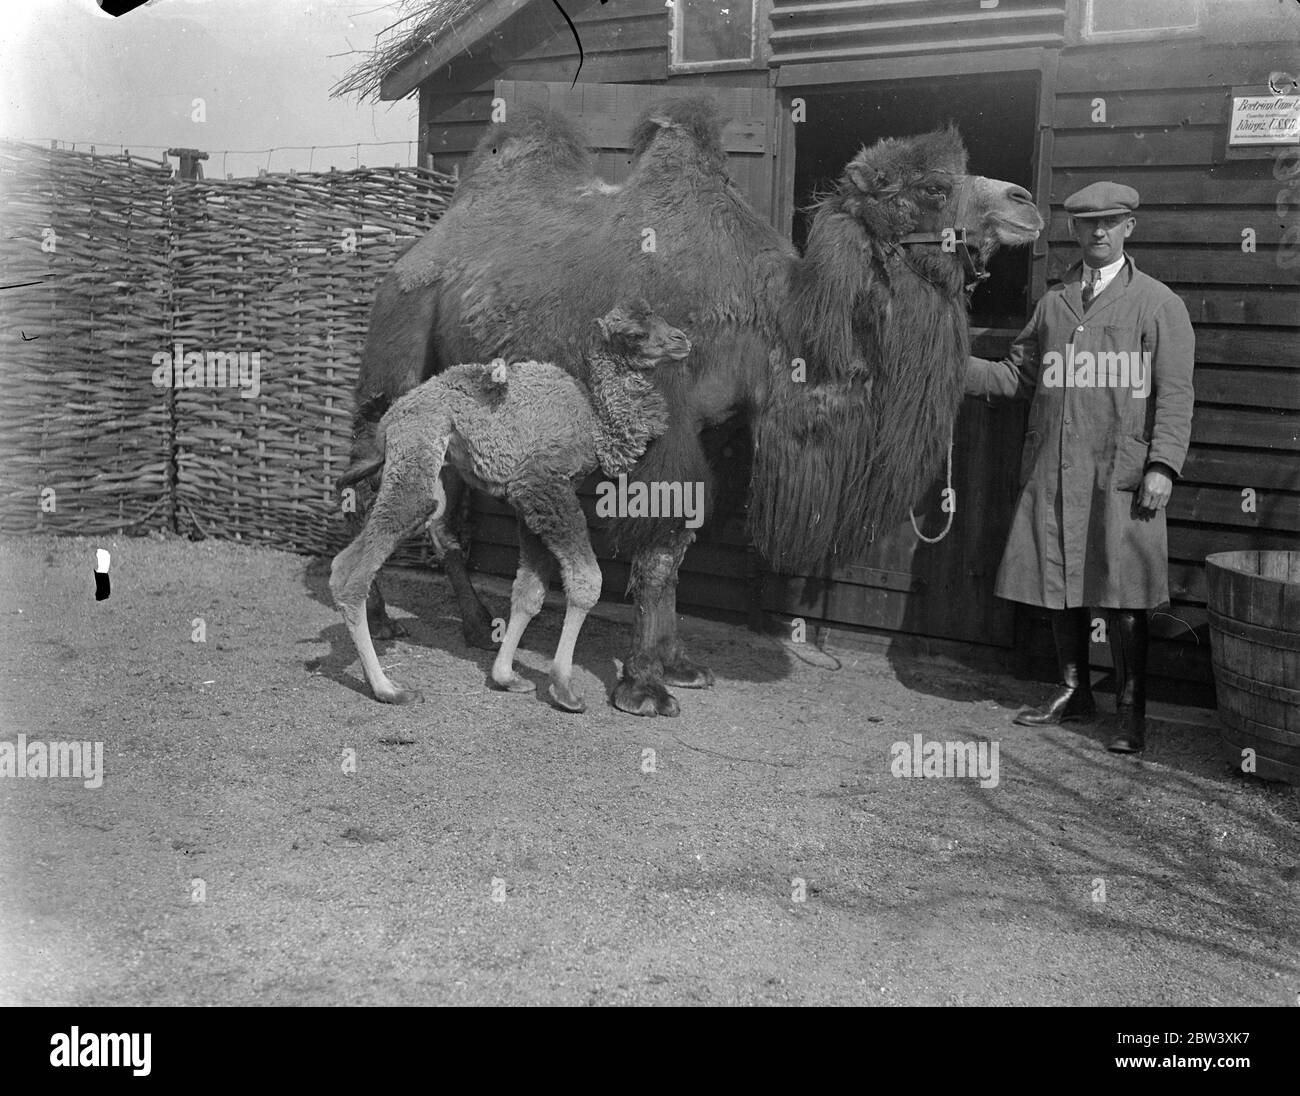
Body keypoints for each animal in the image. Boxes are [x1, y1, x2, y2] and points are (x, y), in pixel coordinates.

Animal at [330, 300, 691, 712]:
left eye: (661, 318)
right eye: (635, 334)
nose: (682, 340)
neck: (593, 423)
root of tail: (389, 420)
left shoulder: (526, 500)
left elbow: (529, 593)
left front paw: (506, 676)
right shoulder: (542, 483)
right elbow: (587, 580)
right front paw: (564, 688)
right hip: (417, 447)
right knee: (360, 562)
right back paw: (389, 688)